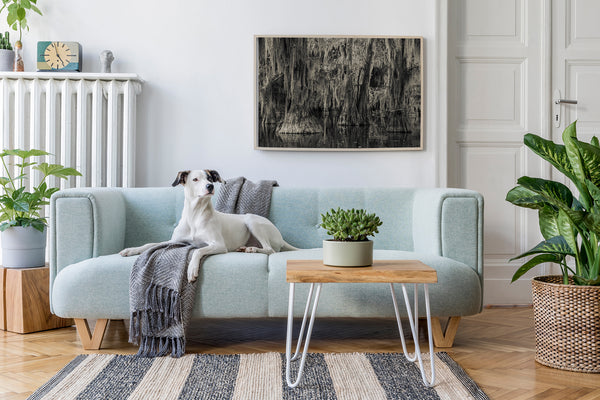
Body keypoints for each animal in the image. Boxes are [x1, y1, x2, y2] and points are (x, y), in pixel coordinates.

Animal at [120, 169, 298, 282]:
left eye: (210, 178)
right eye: (195, 179)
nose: (210, 186)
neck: (195, 215)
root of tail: (281, 237)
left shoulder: (218, 244)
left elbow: (197, 250)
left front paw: (192, 269)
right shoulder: (174, 241)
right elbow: (150, 244)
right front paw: (131, 250)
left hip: (251, 220)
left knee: (270, 250)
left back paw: (252, 249)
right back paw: (245, 247)